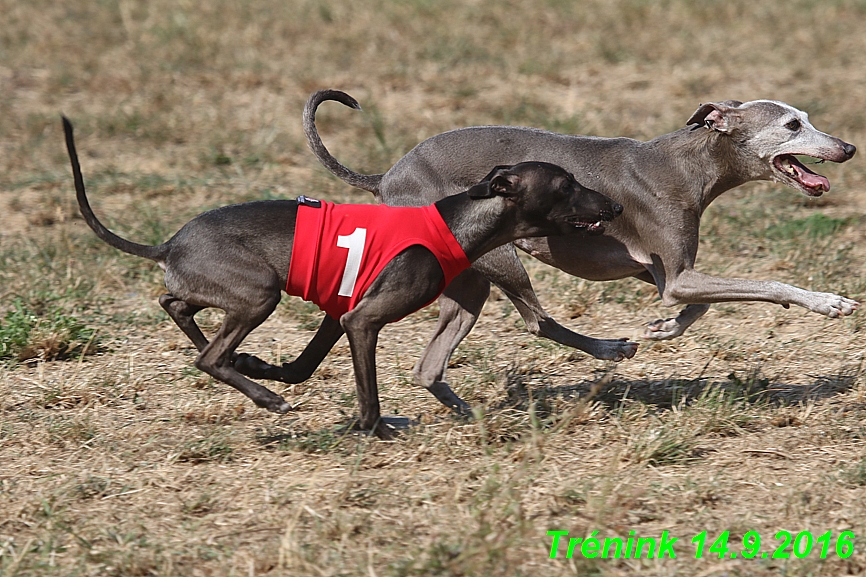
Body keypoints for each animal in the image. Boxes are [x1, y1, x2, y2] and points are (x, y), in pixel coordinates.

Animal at [64, 119, 624, 438]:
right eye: (566, 185)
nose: (615, 207)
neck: (456, 221)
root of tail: (169, 243)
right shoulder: (362, 319)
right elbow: (366, 393)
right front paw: (376, 428)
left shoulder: (338, 312)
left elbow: (302, 365)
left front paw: (262, 366)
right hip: (259, 293)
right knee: (208, 355)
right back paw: (266, 398)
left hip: (225, 290)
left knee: (177, 306)